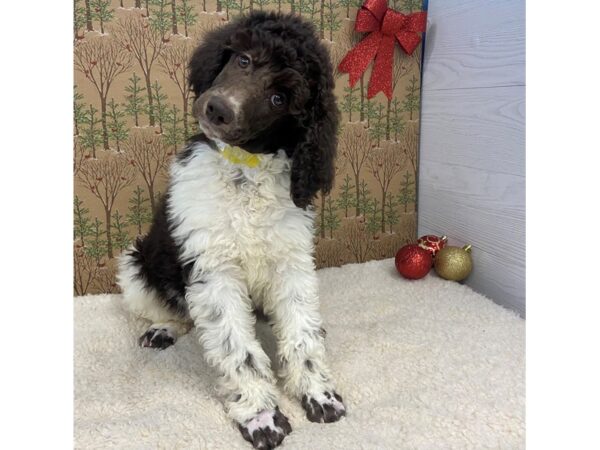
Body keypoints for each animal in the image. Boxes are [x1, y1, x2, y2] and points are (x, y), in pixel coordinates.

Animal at [116, 11, 346, 450]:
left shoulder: (292, 263)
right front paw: (261, 415)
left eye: (280, 99)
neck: (246, 173)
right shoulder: (214, 273)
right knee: (176, 310)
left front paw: (317, 391)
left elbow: (301, 334)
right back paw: (163, 329)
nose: (218, 108)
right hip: (136, 266)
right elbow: (239, 350)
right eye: (243, 59)